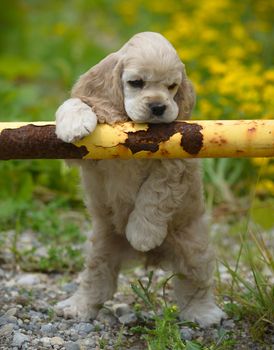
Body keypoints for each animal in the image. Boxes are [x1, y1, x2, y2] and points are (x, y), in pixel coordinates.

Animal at [54, 31, 225, 326]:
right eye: (136, 83)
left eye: (172, 86)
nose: (158, 106)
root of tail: (149, 259)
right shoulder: (87, 158)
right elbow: (77, 102)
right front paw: (74, 123)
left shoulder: (176, 163)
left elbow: (154, 194)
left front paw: (143, 233)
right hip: (100, 248)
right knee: (96, 281)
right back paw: (77, 307)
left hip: (193, 246)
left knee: (195, 281)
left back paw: (204, 313)